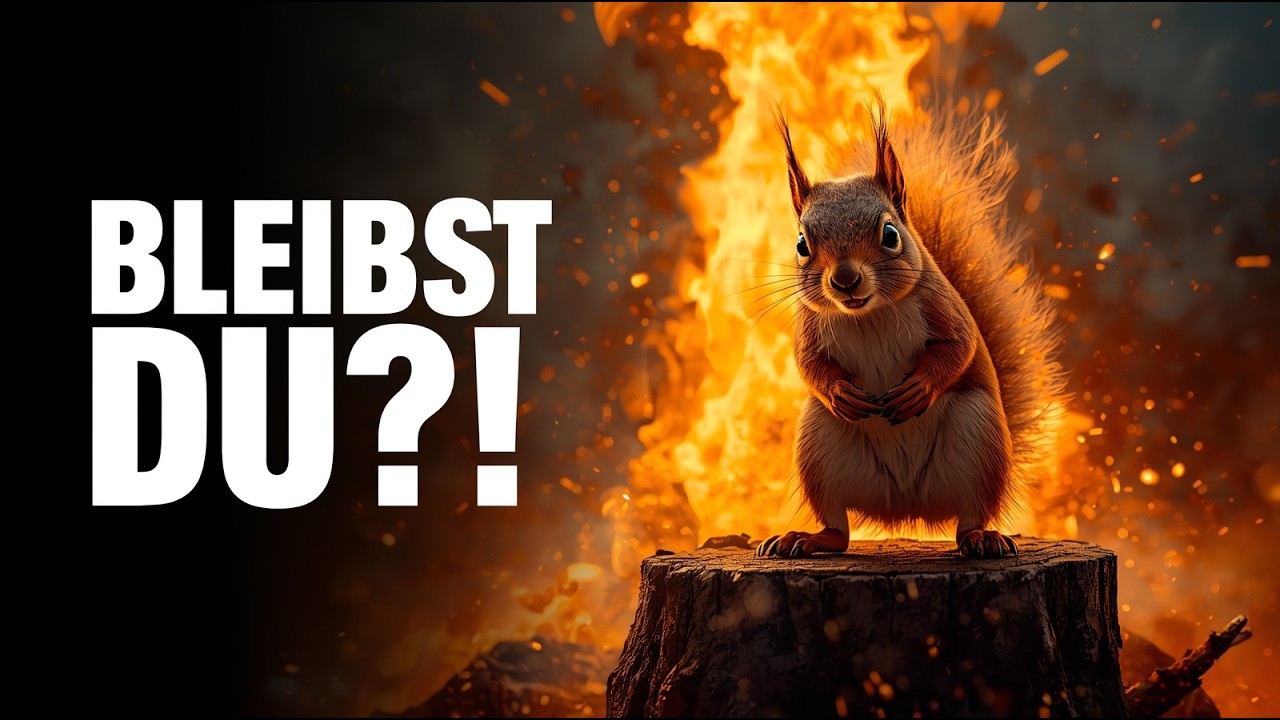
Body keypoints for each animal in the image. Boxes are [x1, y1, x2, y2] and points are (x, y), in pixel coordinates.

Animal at [757, 94, 1066, 559]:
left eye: (890, 234)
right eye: (801, 245)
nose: (844, 280)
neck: (868, 315)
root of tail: (906, 508)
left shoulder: (944, 308)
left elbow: (959, 347)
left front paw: (919, 388)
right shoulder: (810, 327)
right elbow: (808, 365)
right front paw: (840, 392)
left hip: (980, 438)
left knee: (969, 517)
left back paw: (983, 537)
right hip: (819, 445)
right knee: (839, 529)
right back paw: (807, 538)